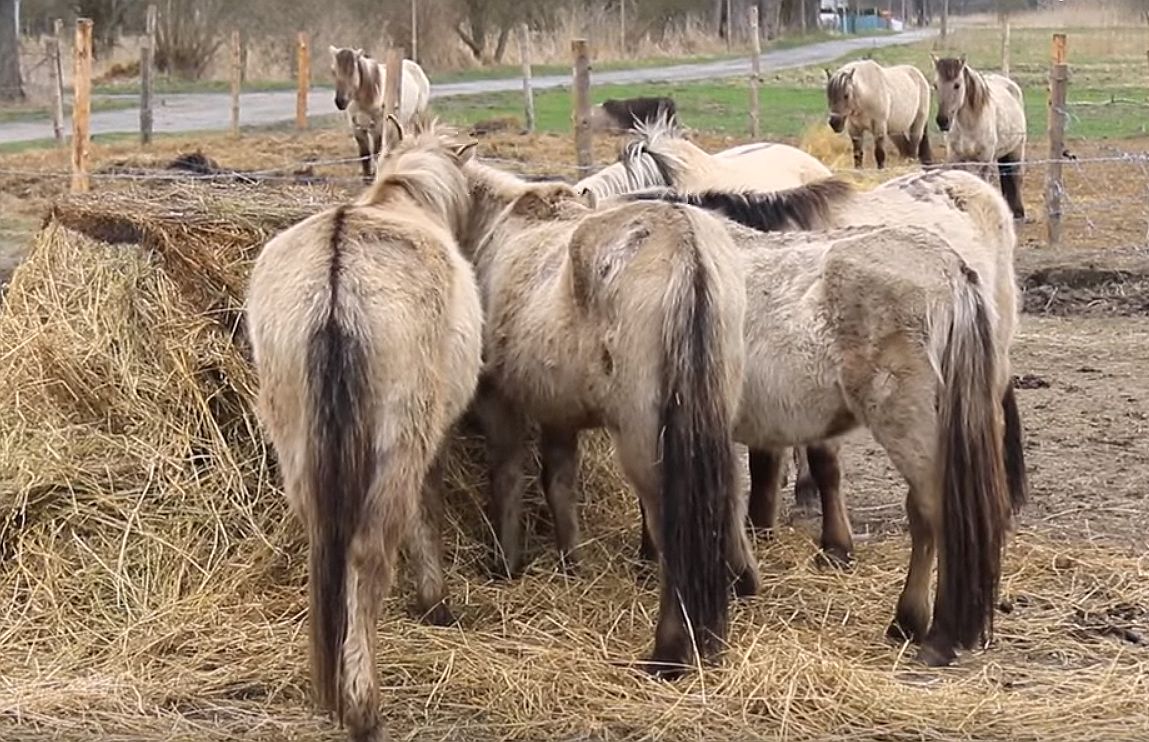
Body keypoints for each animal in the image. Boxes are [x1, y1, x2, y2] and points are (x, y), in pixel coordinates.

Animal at [247, 119, 484, 739]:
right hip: (398, 441)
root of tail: (337, 280)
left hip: (297, 441)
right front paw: (433, 598)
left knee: (325, 547)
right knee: (368, 554)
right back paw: (362, 704)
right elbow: (428, 509)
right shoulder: (430, 439)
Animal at [330, 45, 432, 182]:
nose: (340, 101)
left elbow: (375, 152)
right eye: (334, 71)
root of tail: (415, 66)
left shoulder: (378, 128)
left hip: (416, 117)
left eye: (352, 71)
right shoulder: (357, 128)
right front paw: (367, 176)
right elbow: (365, 154)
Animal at [379, 117, 753, 679]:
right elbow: (559, 484)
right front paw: (570, 562)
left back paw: (669, 652)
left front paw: (507, 562)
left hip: (647, 439)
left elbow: (508, 477)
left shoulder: (502, 403)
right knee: (728, 496)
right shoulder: (559, 413)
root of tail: (687, 250)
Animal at [928, 54, 1029, 219]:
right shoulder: (956, 159)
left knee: (1015, 176)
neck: (969, 126)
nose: (942, 121)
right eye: (935, 85)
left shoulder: (985, 160)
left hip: (1017, 148)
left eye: (957, 85)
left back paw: (1018, 212)